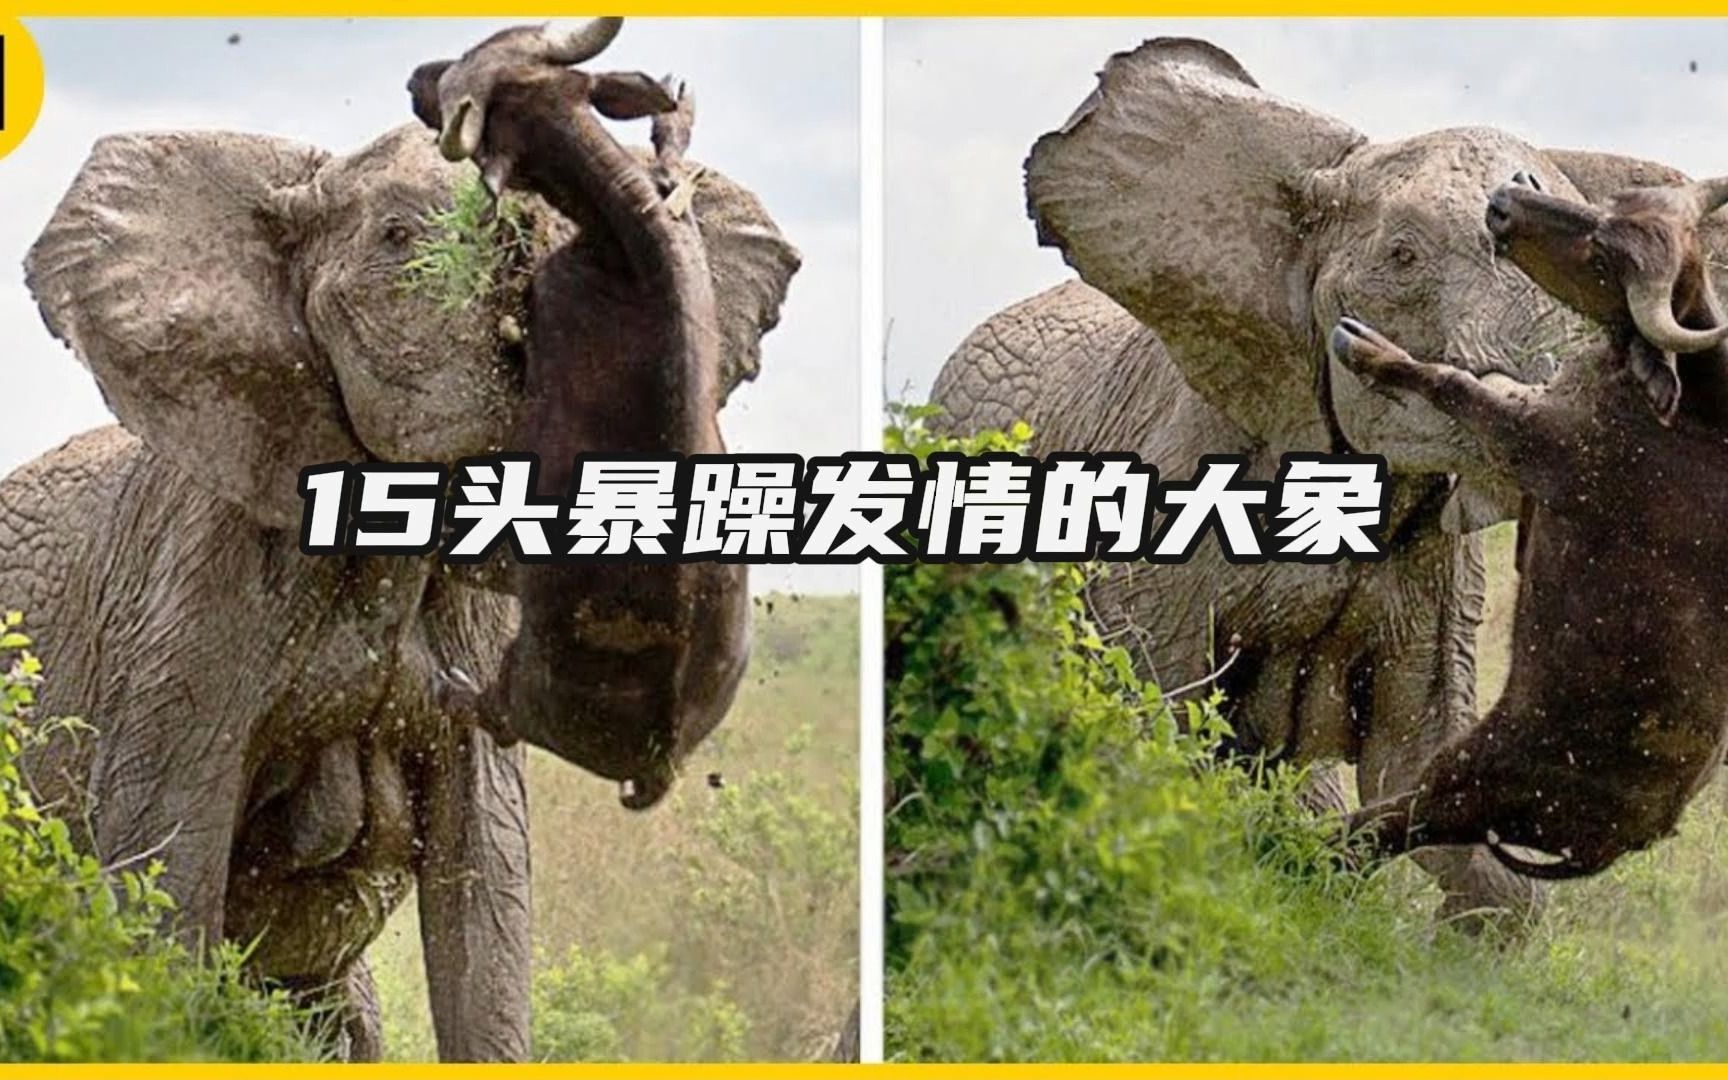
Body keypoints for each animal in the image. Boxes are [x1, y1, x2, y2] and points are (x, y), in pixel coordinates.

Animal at [1339, 172, 1728, 879]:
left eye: (1604, 258)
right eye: (1614, 204)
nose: (1505, 201)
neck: (1693, 413)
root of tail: (1634, 837)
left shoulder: (1533, 440)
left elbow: (1455, 382)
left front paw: (1368, 347)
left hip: (1466, 778)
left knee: (1385, 826)